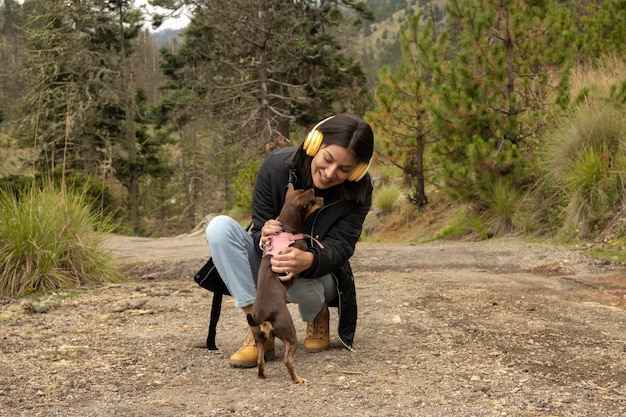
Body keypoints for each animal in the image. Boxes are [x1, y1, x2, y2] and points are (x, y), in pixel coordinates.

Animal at [245, 184, 322, 382]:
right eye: (313, 199)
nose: (323, 199)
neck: (286, 227)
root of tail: (262, 316)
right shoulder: (300, 250)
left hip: (259, 337)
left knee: (260, 360)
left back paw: (263, 375)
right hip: (289, 333)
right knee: (287, 360)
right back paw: (298, 379)